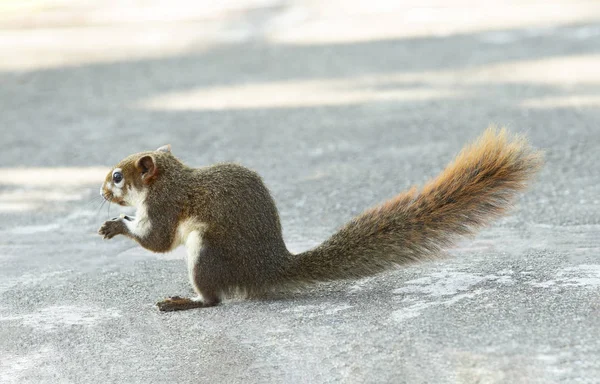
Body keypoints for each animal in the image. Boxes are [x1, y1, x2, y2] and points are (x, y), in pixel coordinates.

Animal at [97, 127, 544, 310]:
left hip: (206, 251)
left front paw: (117, 224)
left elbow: (158, 241)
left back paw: (185, 302)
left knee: (214, 299)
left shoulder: (166, 204)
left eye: (118, 176)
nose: (101, 192)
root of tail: (271, 267)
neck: (171, 177)